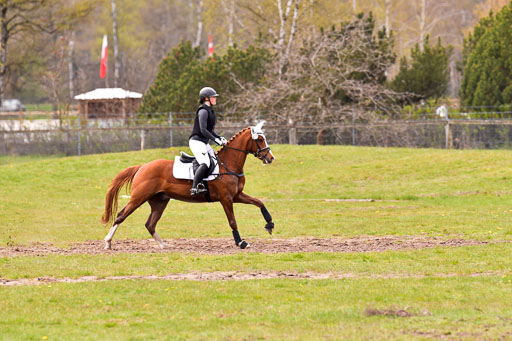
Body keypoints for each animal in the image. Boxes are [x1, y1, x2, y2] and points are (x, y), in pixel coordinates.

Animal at [101, 122, 276, 250]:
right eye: (260, 140)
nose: (271, 158)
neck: (228, 164)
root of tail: (142, 166)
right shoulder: (226, 199)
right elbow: (232, 221)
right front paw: (240, 242)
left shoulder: (237, 196)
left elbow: (259, 202)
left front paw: (269, 224)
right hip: (139, 197)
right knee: (121, 215)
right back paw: (108, 242)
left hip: (159, 201)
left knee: (150, 224)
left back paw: (163, 245)